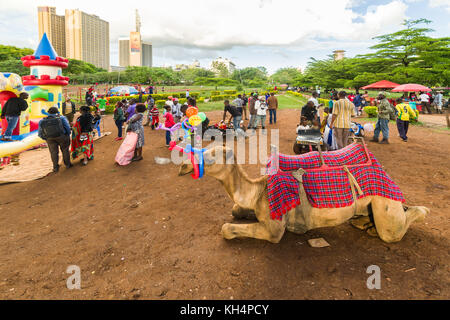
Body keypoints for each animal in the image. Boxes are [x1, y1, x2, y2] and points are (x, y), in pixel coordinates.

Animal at [179, 145, 428, 242]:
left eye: (211, 156)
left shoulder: (274, 229)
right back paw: (365, 224)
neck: (258, 189)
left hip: (384, 202)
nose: (184, 166)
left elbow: (226, 229)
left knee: (397, 227)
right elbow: (235, 209)